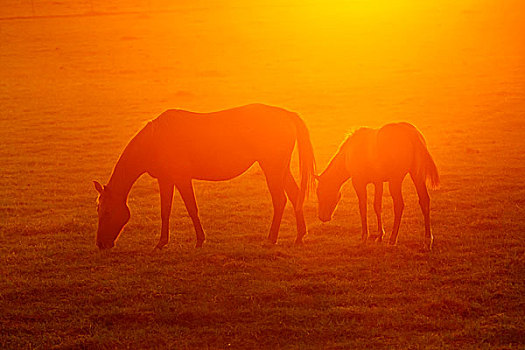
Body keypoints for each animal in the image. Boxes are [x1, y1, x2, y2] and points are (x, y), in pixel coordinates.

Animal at [94, 103, 316, 249]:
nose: (101, 244)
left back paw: (271, 239)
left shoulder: (181, 179)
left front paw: (200, 240)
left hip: (272, 168)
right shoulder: (165, 180)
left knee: (280, 200)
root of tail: (286, 114)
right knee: (295, 195)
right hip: (281, 169)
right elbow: (165, 211)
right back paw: (299, 236)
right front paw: (161, 242)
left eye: (106, 212)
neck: (154, 139)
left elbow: (192, 209)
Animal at [316, 121, 438, 250]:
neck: (349, 152)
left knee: (399, 205)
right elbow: (377, 206)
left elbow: (363, 208)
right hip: (417, 176)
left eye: (320, 192)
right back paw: (427, 240)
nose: (322, 217)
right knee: (424, 201)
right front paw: (379, 236)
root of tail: (411, 133)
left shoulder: (358, 183)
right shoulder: (378, 182)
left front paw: (365, 236)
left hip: (395, 181)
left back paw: (392, 239)